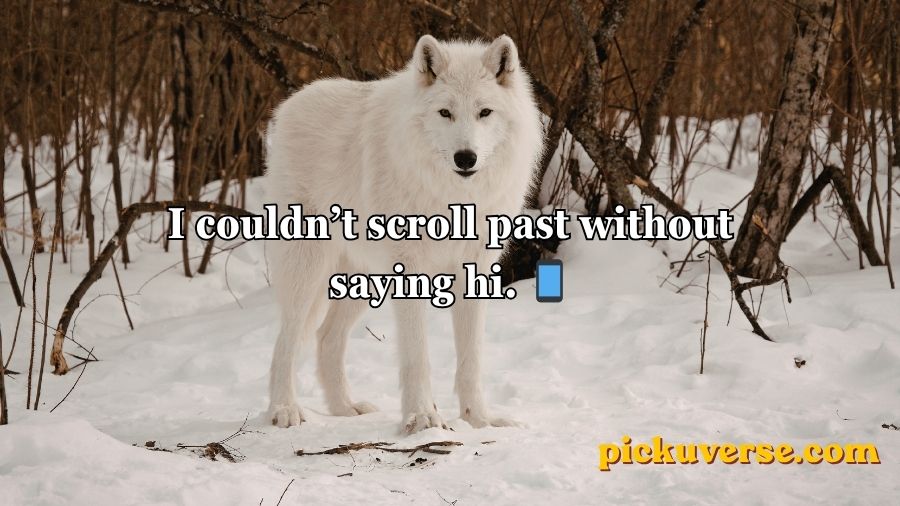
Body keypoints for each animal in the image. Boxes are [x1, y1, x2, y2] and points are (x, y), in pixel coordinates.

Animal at [264, 34, 544, 433]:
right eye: (445, 113)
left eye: (485, 112)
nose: (465, 157)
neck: (453, 197)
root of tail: (291, 103)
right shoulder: (410, 269)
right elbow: (417, 355)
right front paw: (423, 418)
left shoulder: (473, 269)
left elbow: (471, 358)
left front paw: (479, 420)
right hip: (308, 269)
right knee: (285, 341)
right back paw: (284, 410)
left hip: (363, 279)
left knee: (326, 337)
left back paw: (345, 408)